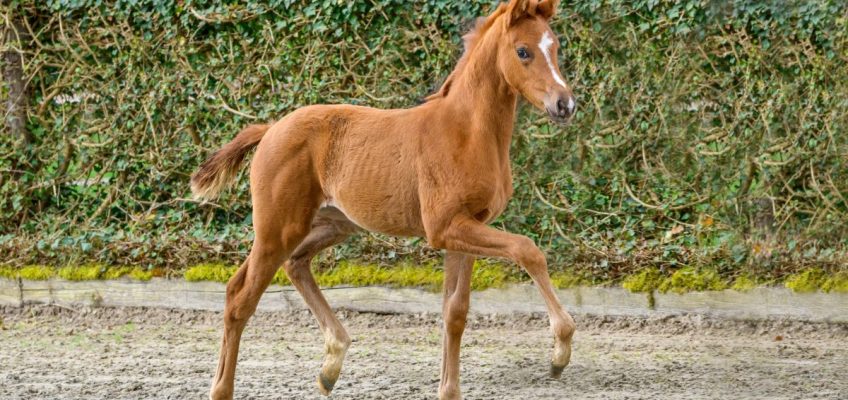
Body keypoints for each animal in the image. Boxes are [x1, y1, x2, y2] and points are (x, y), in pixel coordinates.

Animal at [192, 1, 576, 398]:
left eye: (556, 46)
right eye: (523, 51)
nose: (564, 104)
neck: (466, 132)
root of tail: (270, 130)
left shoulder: (467, 228)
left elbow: (455, 312)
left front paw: (448, 389)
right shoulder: (445, 228)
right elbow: (527, 249)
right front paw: (560, 351)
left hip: (330, 225)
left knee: (289, 267)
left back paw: (331, 365)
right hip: (278, 228)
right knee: (241, 298)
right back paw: (223, 389)